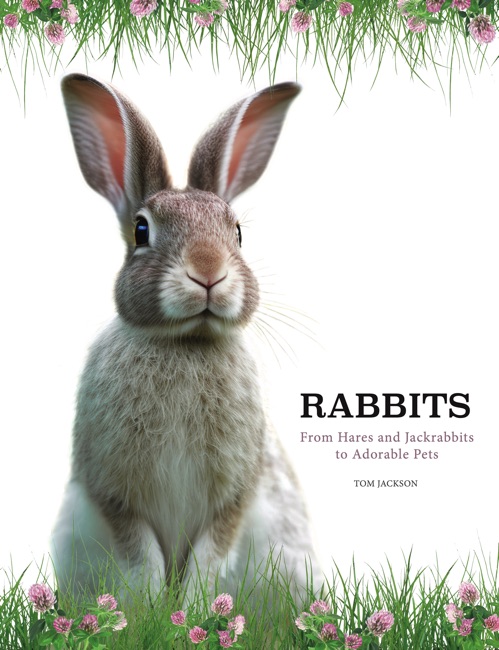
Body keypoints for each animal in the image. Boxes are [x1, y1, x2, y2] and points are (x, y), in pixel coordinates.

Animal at [51, 73, 320, 602]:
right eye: (141, 230)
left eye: (237, 233)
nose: (208, 272)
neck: (186, 343)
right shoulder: (114, 493)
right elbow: (142, 558)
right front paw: (153, 609)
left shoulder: (234, 495)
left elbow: (210, 557)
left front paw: (193, 610)